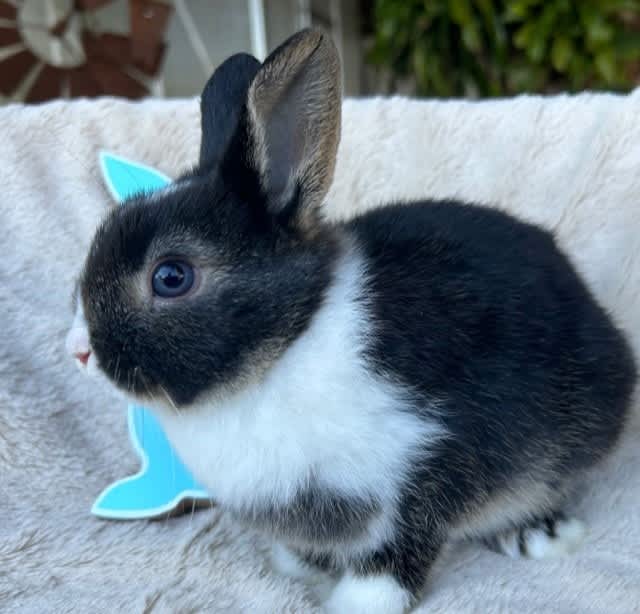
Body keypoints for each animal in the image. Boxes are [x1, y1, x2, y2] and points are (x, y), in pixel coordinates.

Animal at [67, 29, 637, 614]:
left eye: (171, 276)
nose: (78, 350)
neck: (288, 344)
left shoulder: (427, 461)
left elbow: (399, 548)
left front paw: (359, 602)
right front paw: (296, 568)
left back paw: (539, 534)